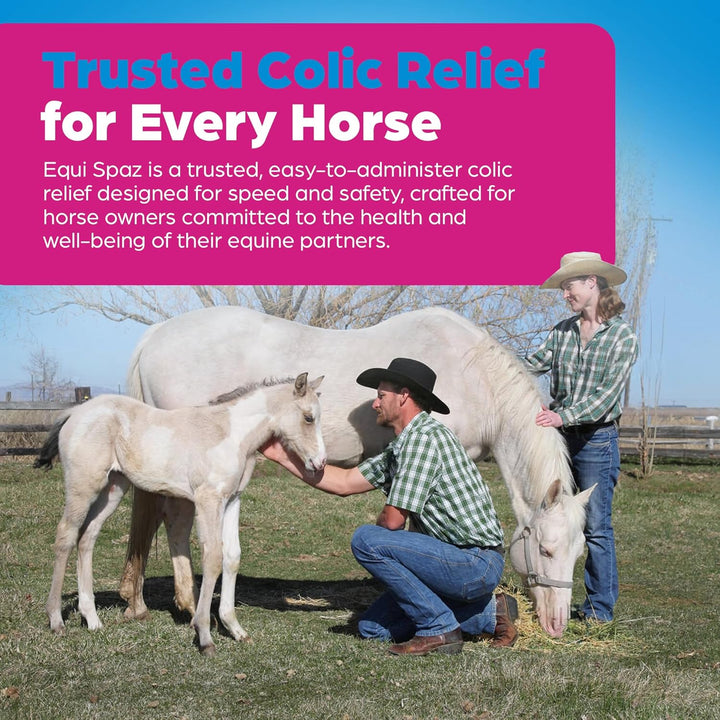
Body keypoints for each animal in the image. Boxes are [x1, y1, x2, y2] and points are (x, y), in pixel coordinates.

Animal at [36, 373, 326, 656]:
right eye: (308, 417)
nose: (320, 463)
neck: (229, 434)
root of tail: (74, 412)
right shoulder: (208, 499)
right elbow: (213, 558)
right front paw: (205, 635)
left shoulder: (232, 500)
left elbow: (232, 557)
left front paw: (235, 629)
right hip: (83, 487)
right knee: (66, 536)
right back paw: (56, 620)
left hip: (113, 488)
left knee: (87, 537)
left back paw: (92, 619)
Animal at [119, 305, 593, 638]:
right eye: (546, 549)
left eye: (578, 553)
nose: (557, 625)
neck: (471, 373)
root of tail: (156, 334)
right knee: (175, 519)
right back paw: (183, 602)